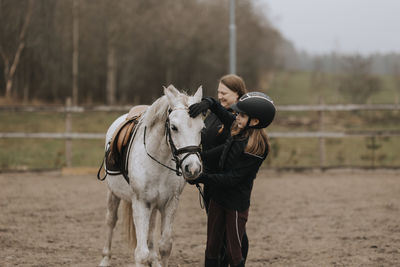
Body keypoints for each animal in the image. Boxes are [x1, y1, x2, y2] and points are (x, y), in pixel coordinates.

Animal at [99, 86, 205, 267]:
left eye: (202, 129)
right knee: (111, 220)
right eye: (174, 127)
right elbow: (141, 254)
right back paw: (105, 258)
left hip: (154, 205)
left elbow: (165, 246)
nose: (193, 168)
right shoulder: (141, 203)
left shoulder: (170, 203)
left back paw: (154, 260)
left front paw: (156, 258)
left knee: (150, 229)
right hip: (114, 193)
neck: (158, 159)